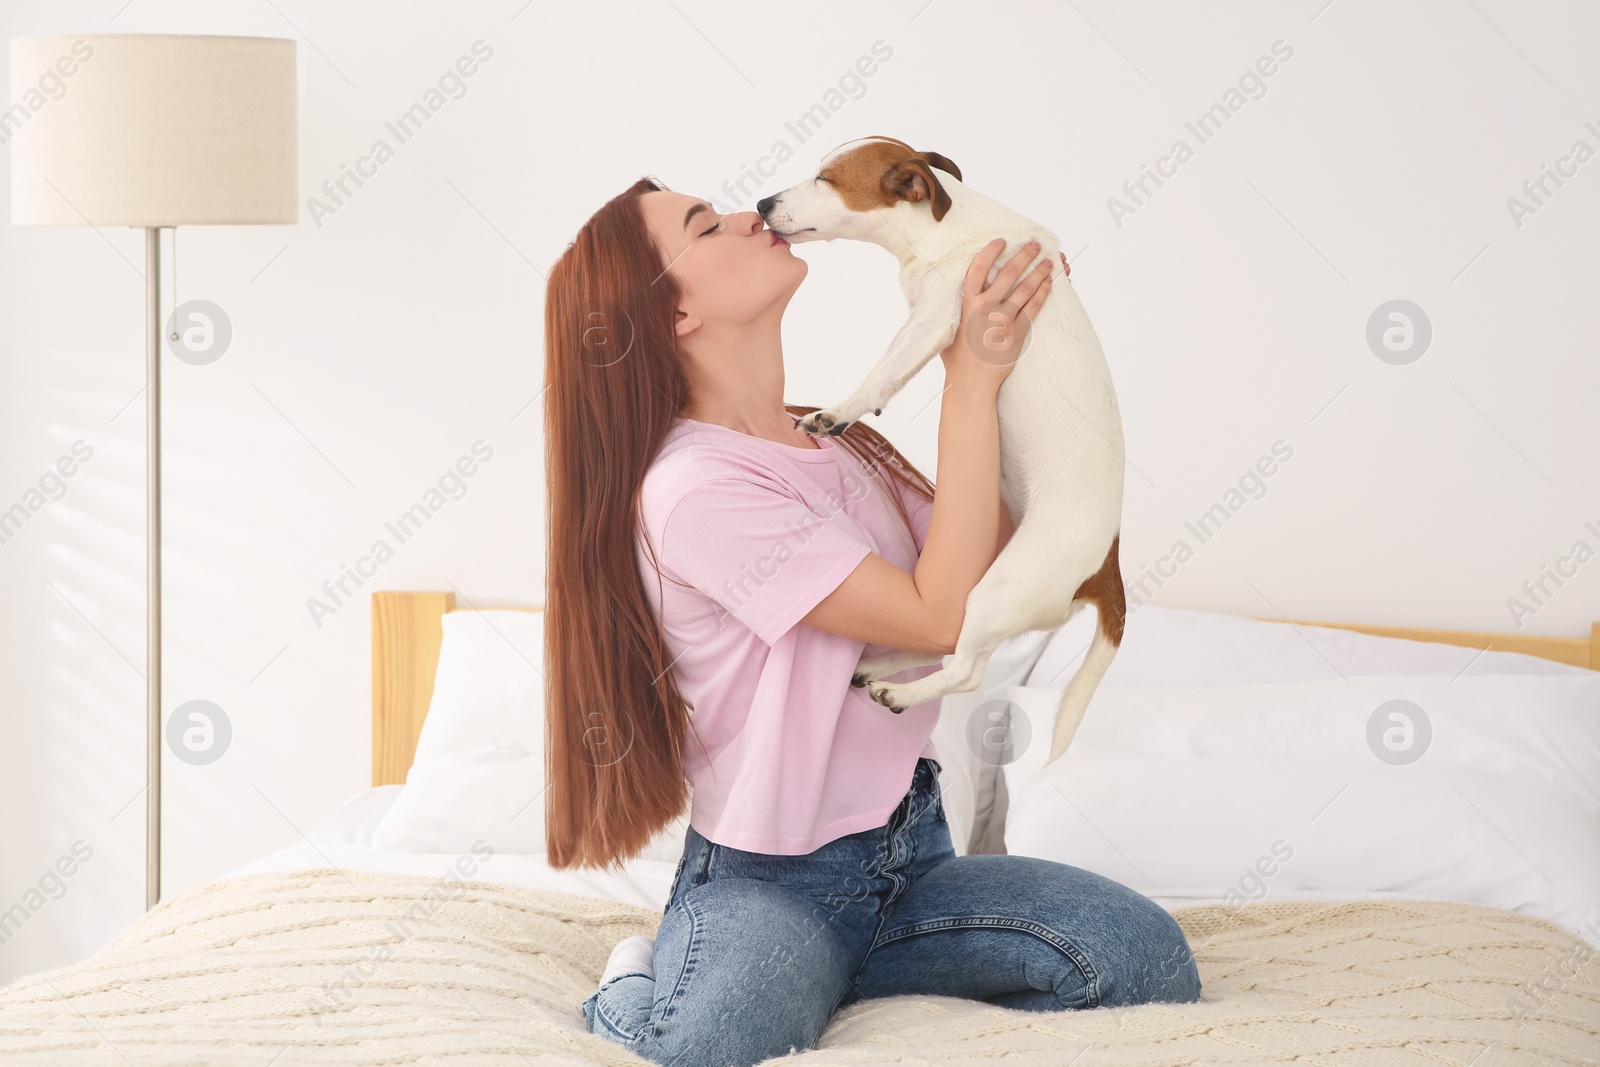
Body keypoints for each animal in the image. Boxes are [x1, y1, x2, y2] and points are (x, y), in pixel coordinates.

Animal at [758, 135, 1126, 767]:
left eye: (826, 179)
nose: (760, 204)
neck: (941, 228)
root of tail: (1107, 567)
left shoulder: (932, 319)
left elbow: (881, 374)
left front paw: (837, 412)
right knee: (945, 640)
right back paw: (881, 667)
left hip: (999, 590)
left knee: (967, 669)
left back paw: (901, 693)